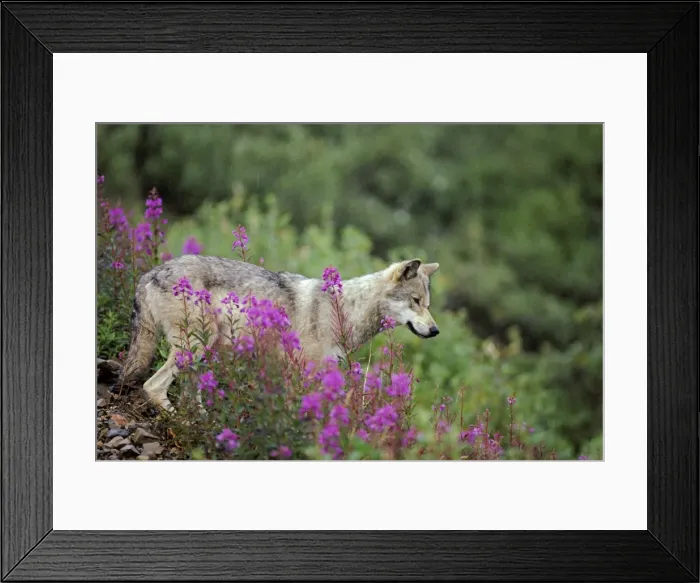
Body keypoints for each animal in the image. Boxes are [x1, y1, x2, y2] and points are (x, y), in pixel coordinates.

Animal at [120, 255, 440, 412]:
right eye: (415, 301)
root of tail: (149, 273)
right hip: (196, 347)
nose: (435, 330)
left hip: (203, 352)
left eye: (428, 304)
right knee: (153, 386)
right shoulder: (304, 372)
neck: (344, 311)